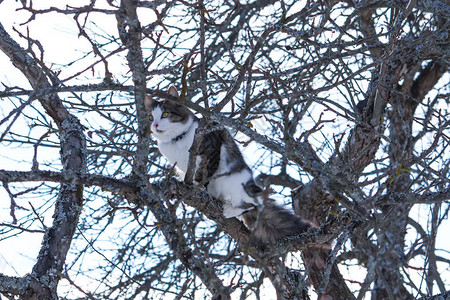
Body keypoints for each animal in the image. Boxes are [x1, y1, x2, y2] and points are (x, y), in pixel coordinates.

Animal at [146, 86, 312, 244]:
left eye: (165, 114)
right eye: (150, 117)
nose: (155, 125)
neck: (176, 140)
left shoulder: (211, 150)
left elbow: (202, 174)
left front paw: (195, 185)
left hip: (234, 180)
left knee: (255, 203)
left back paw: (228, 210)